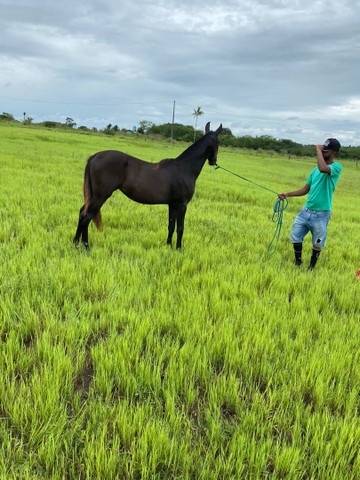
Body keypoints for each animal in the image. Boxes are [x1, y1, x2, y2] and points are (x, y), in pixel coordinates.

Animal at [73, 121, 222, 251]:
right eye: (219, 142)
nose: (213, 161)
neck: (184, 168)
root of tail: (95, 156)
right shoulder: (182, 204)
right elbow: (180, 228)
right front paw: (179, 249)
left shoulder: (172, 204)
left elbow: (171, 226)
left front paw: (168, 247)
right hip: (101, 195)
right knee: (87, 216)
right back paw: (86, 247)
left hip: (94, 195)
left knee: (82, 213)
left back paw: (76, 244)